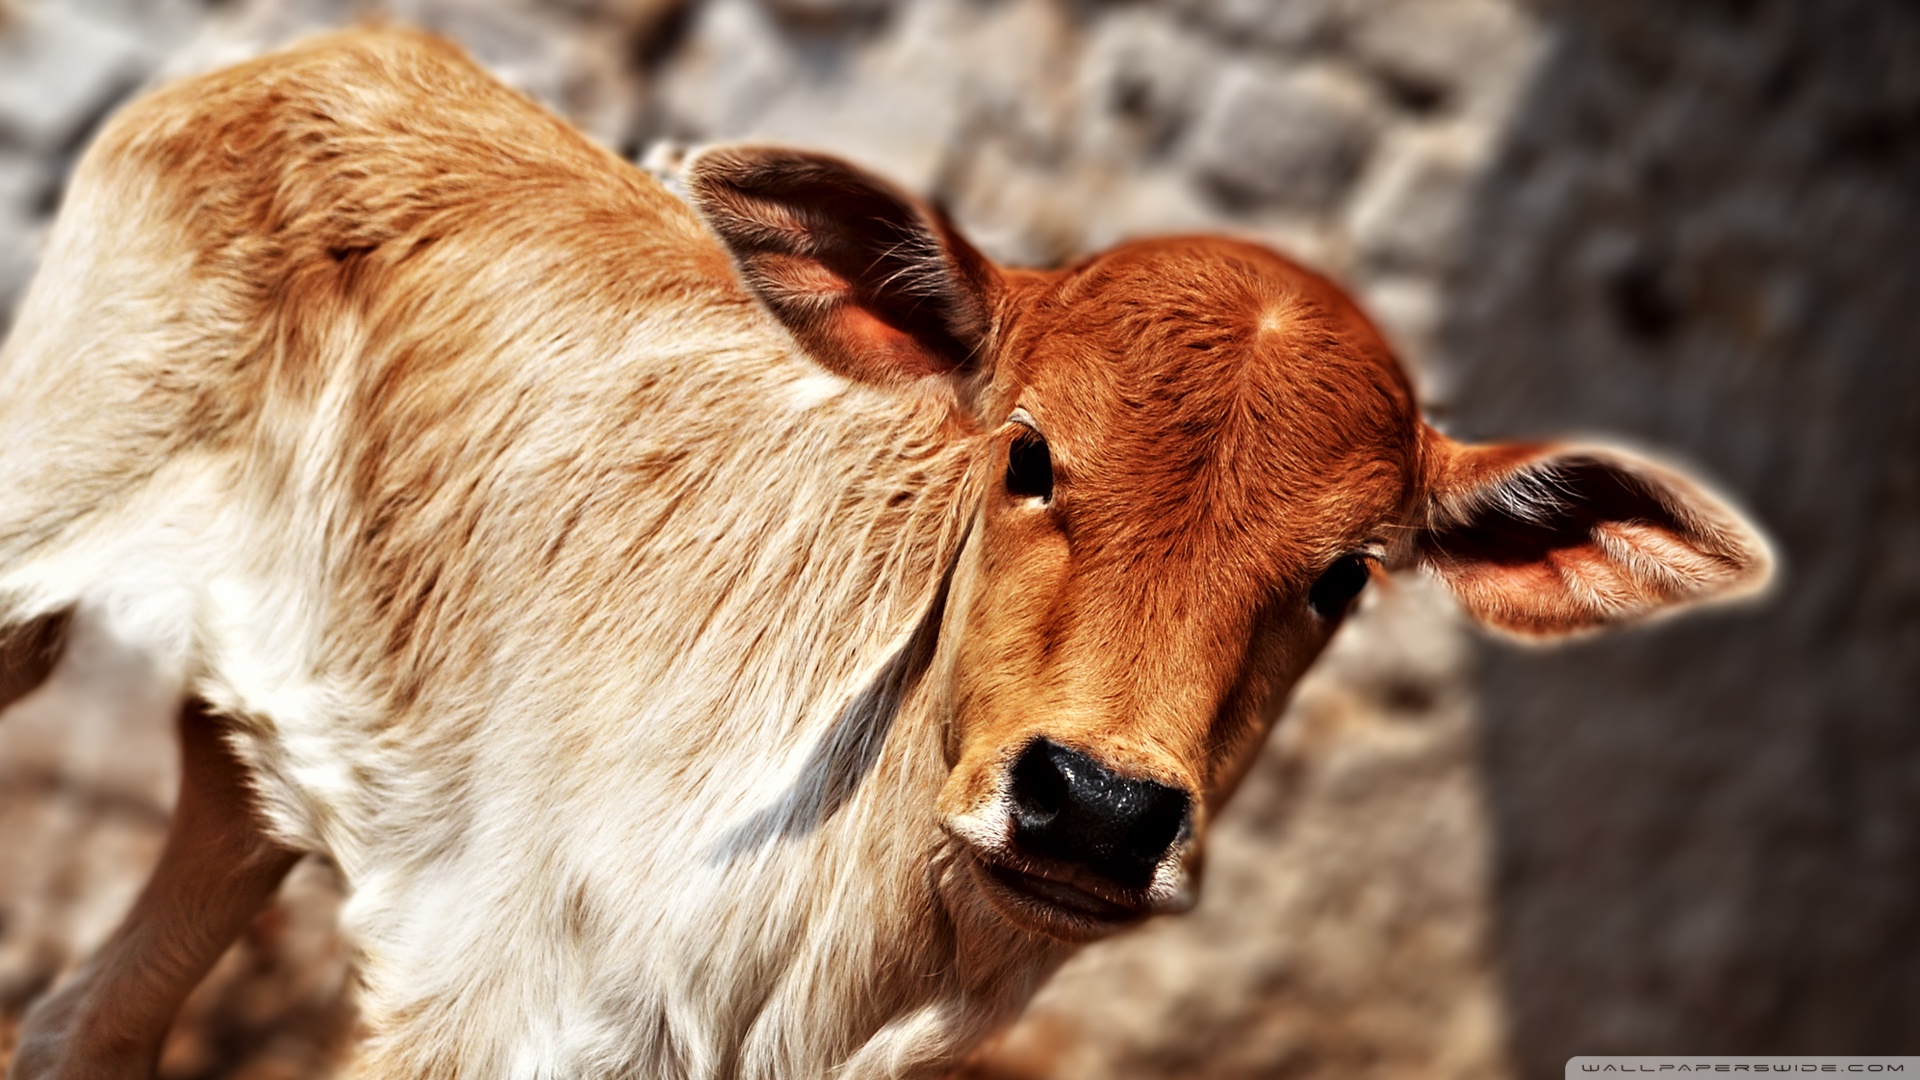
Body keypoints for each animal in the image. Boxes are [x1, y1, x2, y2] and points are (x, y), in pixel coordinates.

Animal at [0, 25, 1766, 1076]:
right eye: (1029, 455)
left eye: (1346, 577)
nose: (1096, 808)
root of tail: (317, 51)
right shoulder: (473, 1006)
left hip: (261, 762)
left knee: (93, 1018)